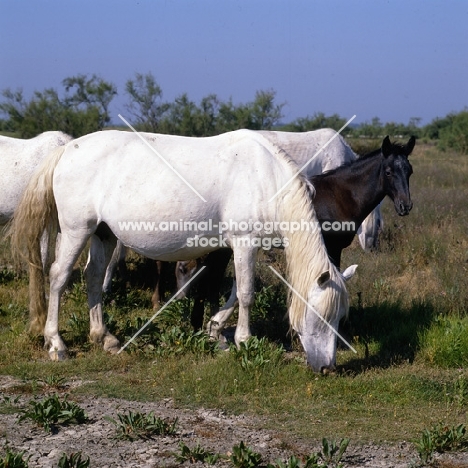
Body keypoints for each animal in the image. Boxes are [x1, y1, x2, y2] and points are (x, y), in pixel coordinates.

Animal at [10, 130, 354, 372]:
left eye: (340, 318)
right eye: (321, 317)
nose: (327, 367)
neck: (265, 178)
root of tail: (66, 150)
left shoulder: (240, 247)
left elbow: (231, 292)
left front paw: (216, 330)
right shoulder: (245, 243)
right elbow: (246, 293)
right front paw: (242, 340)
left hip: (102, 233)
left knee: (93, 277)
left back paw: (103, 337)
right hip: (76, 230)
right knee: (58, 277)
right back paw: (56, 344)